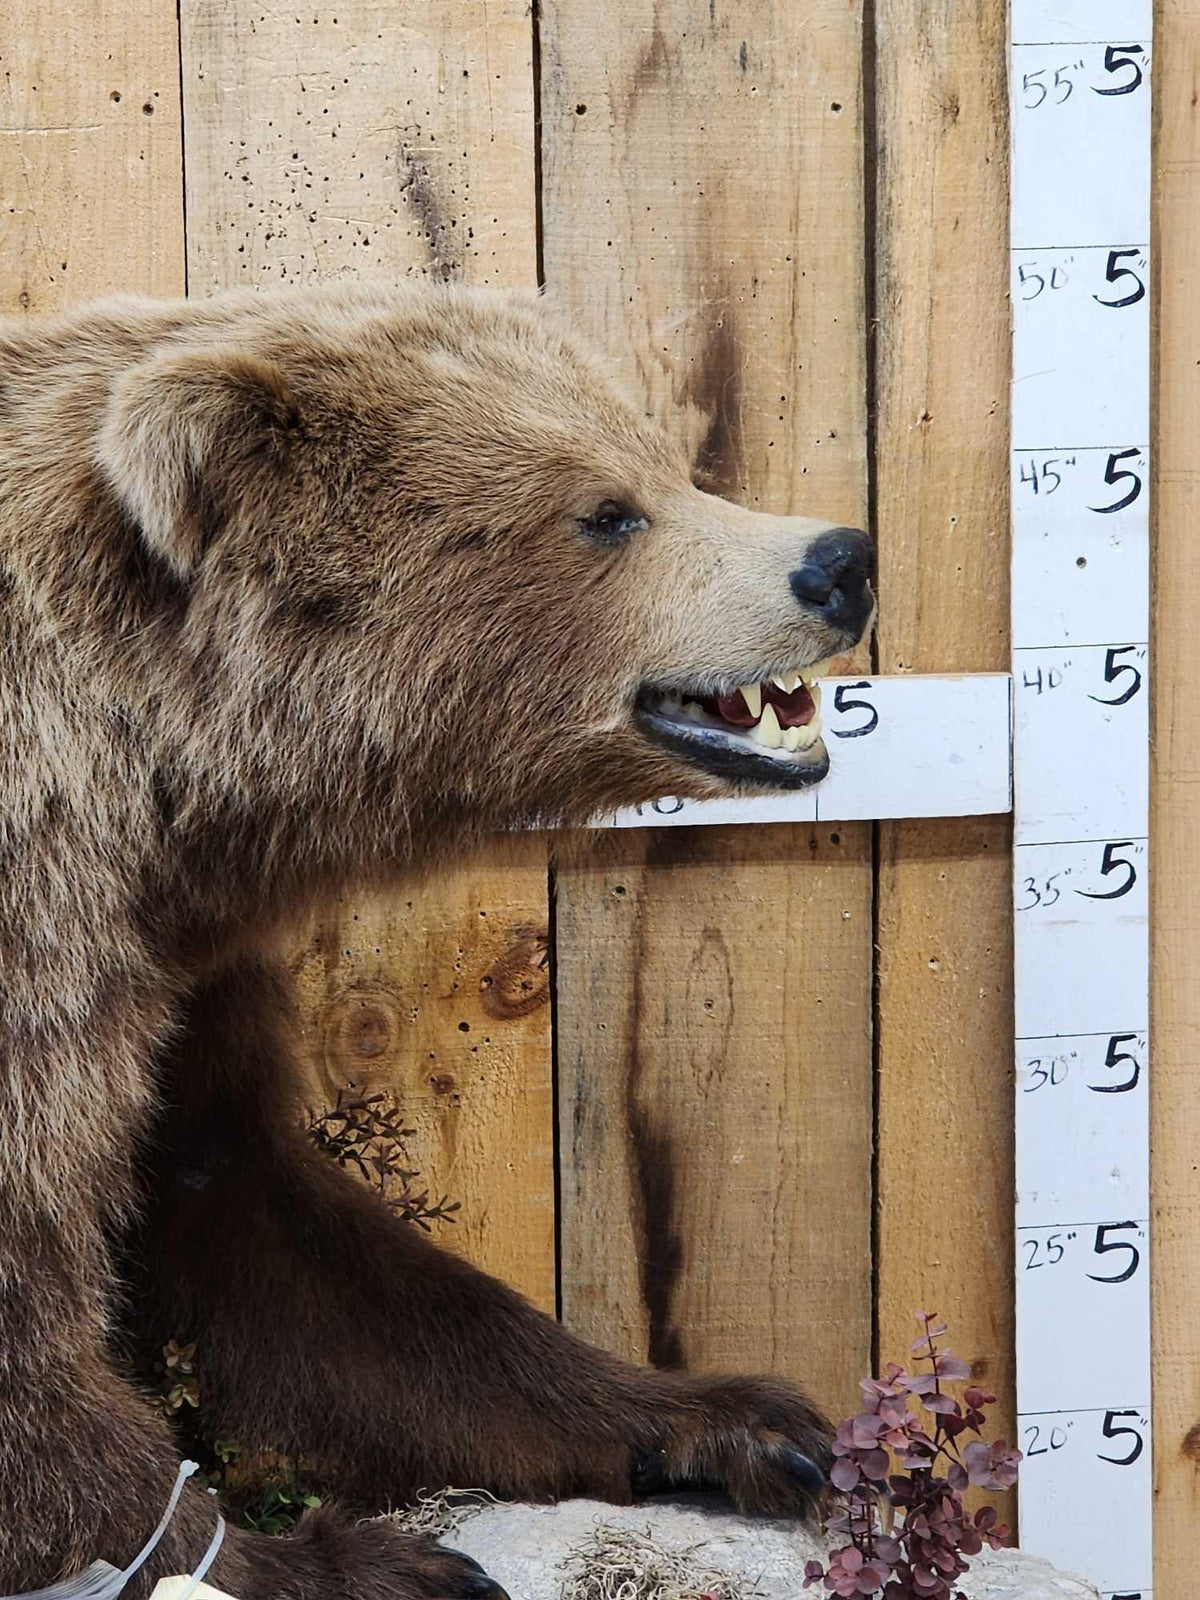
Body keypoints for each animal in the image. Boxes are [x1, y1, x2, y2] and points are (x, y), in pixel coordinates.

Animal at [0, 280, 874, 1600]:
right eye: (606, 512)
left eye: (667, 464)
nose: (840, 562)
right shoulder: (45, 939)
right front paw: (336, 1557)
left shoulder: (178, 955)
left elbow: (258, 1210)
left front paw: (740, 1417)